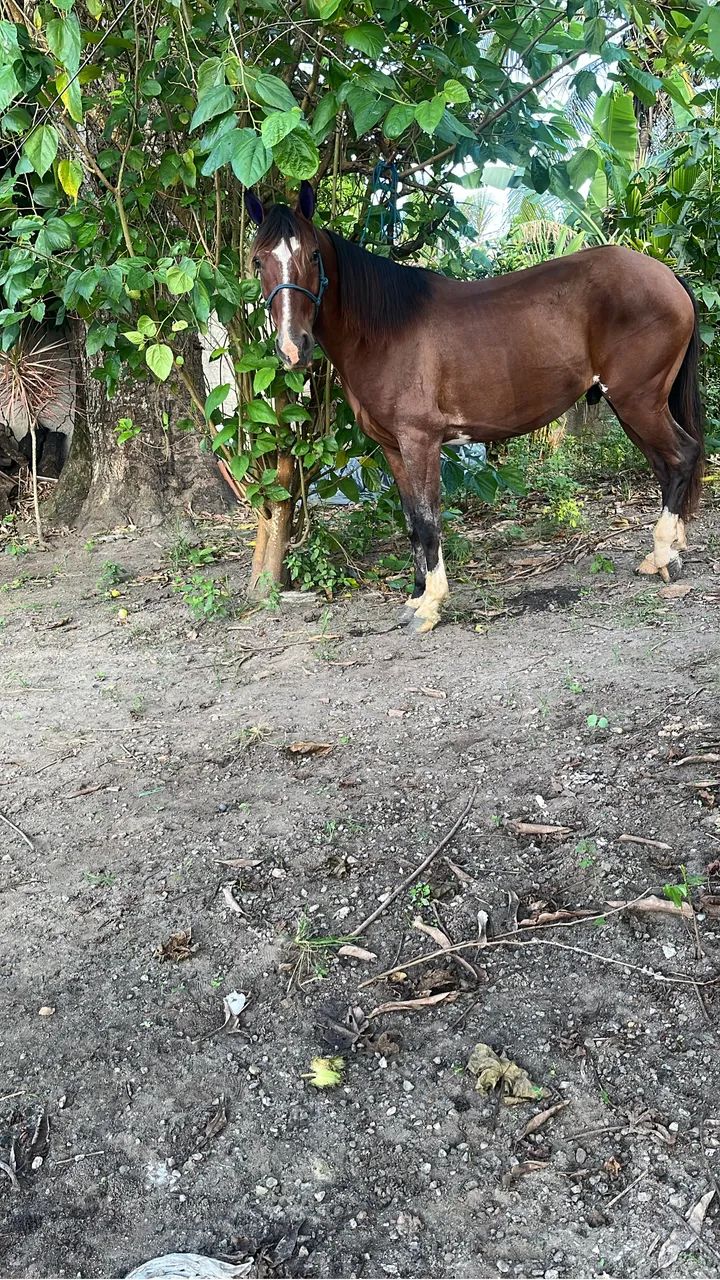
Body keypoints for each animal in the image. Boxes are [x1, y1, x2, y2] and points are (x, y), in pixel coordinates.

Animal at [245, 181, 704, 633]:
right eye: (257, 260)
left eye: (313, 255)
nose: (293, 347)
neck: (385, 330)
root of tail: (667, 276)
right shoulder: (393, 447)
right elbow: (411, 521)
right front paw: (414, 598)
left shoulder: (420, 440)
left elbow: (428, 521)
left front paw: (430, 606)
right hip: (634, 407)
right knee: (667, 466)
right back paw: (666, 553)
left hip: (638, 402)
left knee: (682, 457)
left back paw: (664, 555)